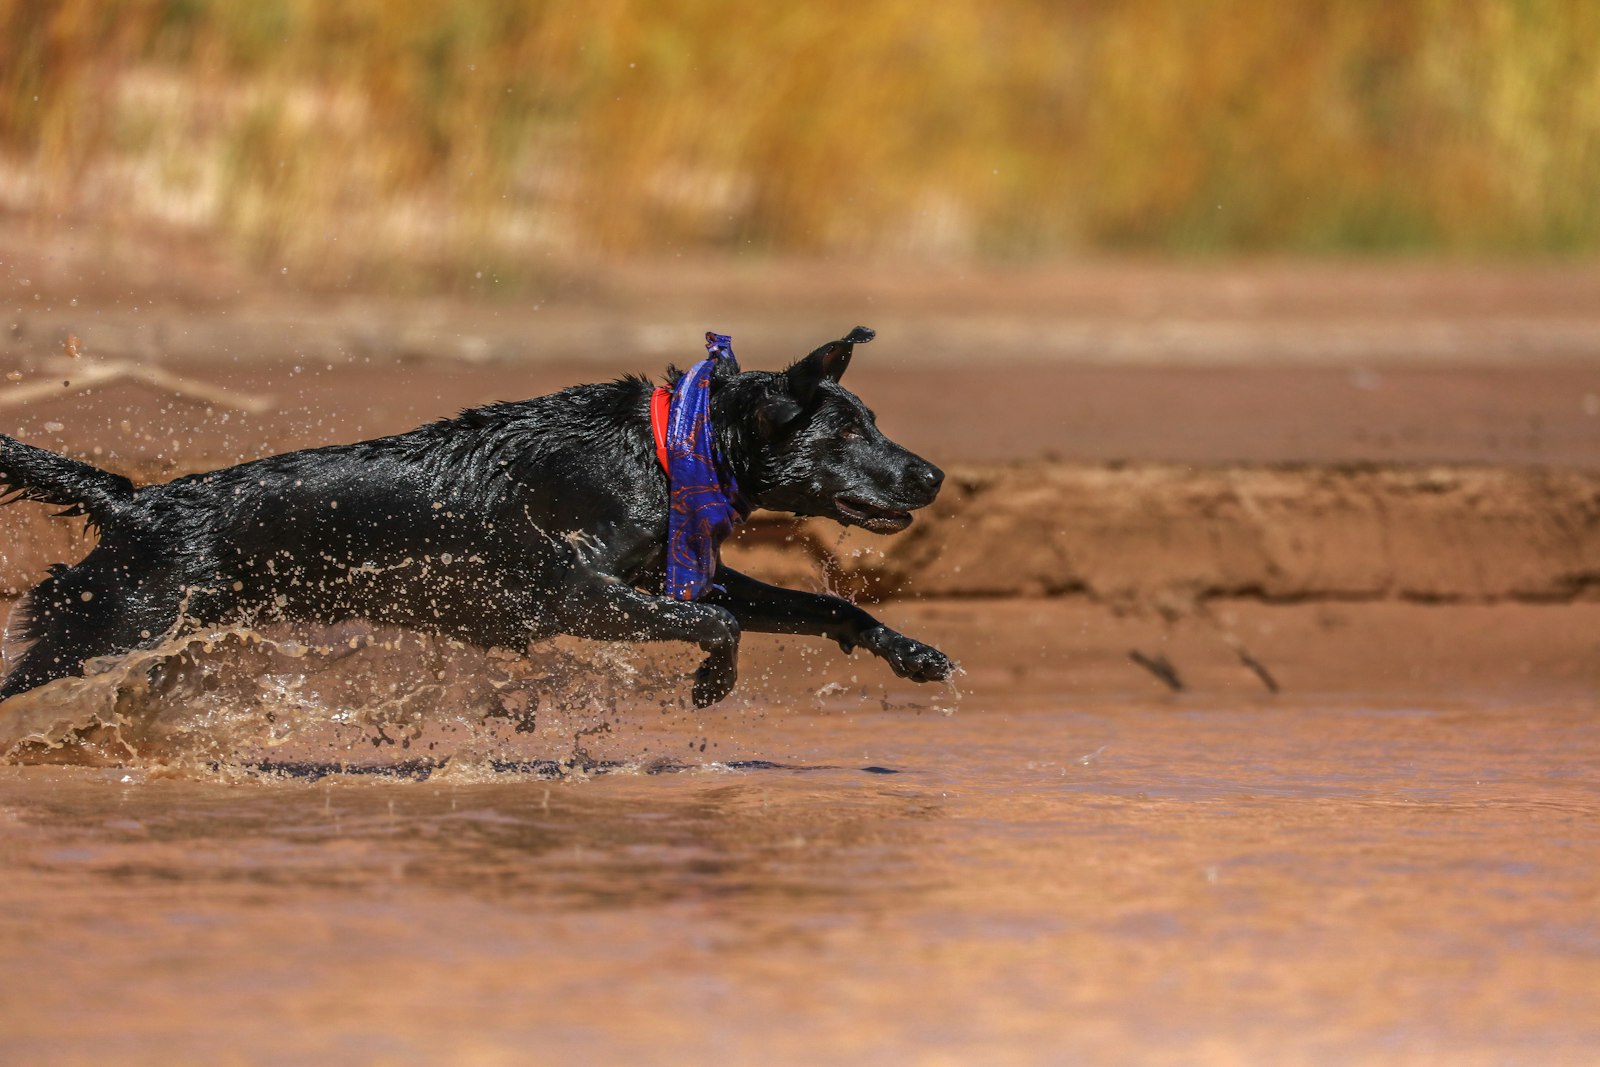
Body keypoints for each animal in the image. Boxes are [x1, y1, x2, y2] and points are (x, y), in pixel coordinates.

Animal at [0, 329, 947, 703]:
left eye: (871, 419)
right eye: (849, 429)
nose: (934, 473)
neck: (665, 448)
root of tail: (135, 498)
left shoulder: (659, 573)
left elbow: (823, 603)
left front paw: (912, 651)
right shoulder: (571, 595)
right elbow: (718, 621)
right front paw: (713, 682)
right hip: (113, 624)